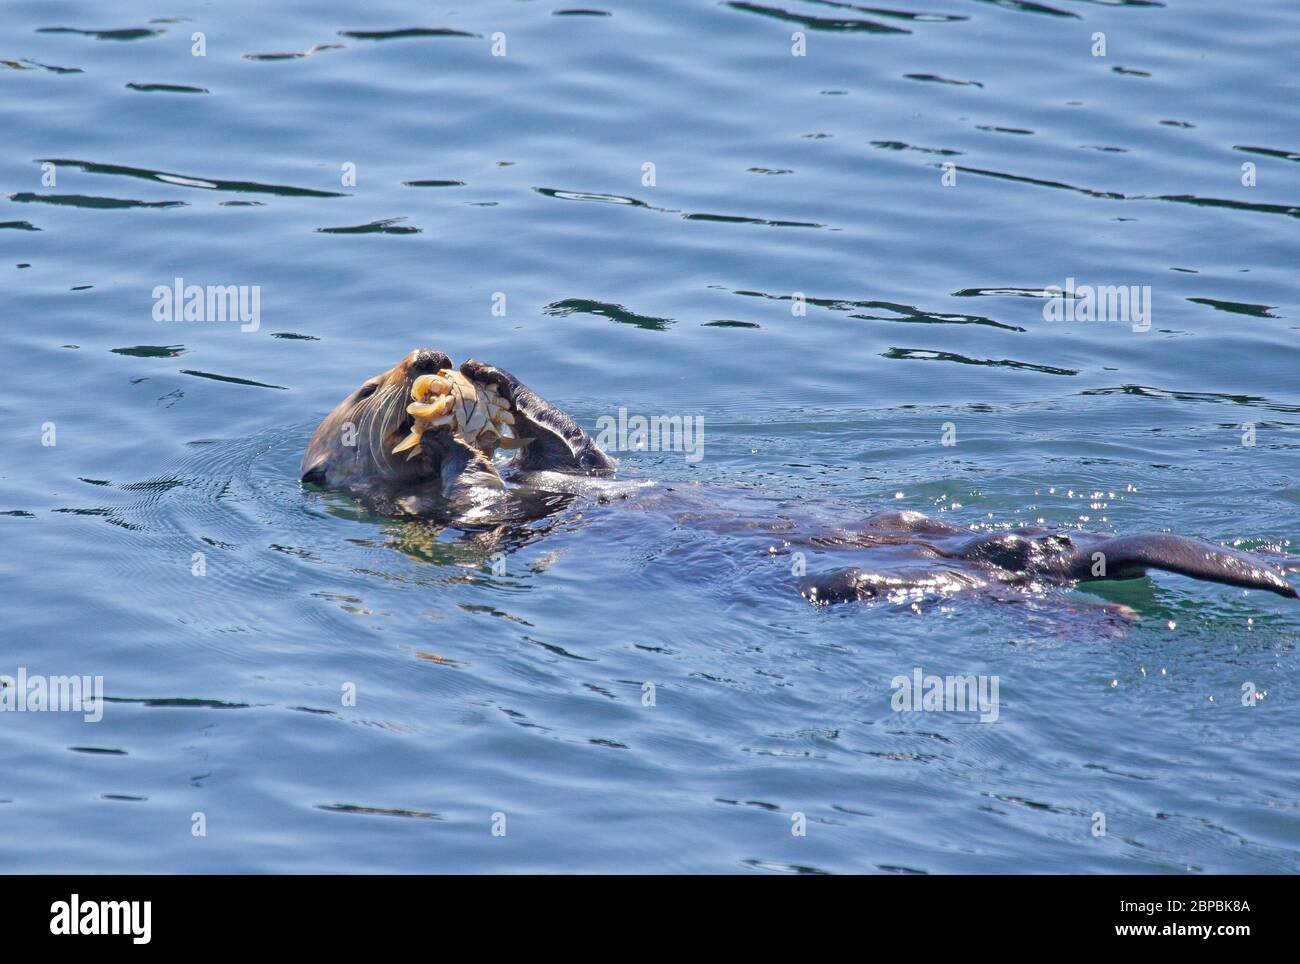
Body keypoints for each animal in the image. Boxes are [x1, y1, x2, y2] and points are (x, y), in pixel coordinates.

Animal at [302, 349, 1298, 605]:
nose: (426, 361)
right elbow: (467, 503)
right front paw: (443, 443)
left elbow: (580, 458)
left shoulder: (572, 472)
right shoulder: (444, 520)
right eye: (362, 391)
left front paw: (498, 387)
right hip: (867, 579)